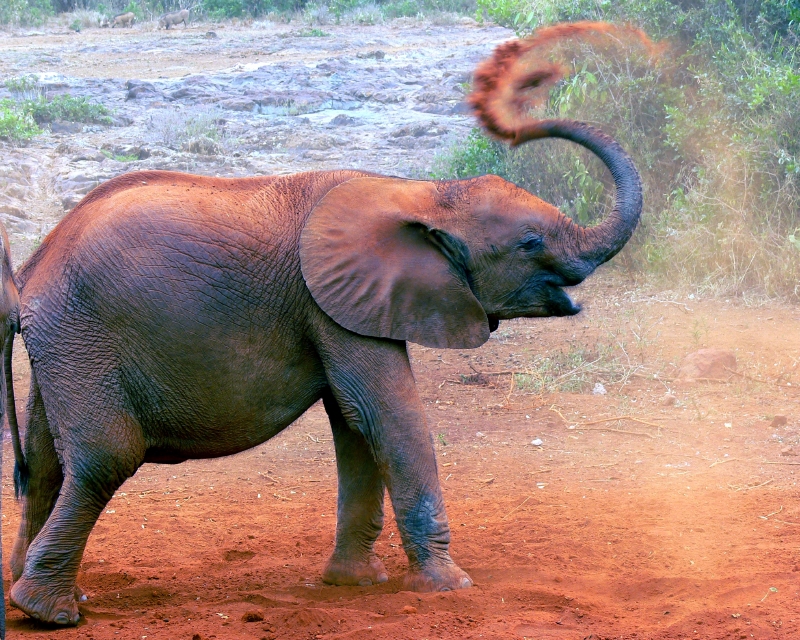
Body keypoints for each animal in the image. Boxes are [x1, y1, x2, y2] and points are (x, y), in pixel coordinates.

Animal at [2, 29, 643, 629]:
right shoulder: (330, 300)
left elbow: (355, 424)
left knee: (46, 466)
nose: (533, 82)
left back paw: (33, 597)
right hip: (83, 333)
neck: (418, 193)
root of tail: (34, 267)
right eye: (530, 243)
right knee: (104, 458)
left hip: (62, 342)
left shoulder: (343, 306)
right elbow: (388, 414)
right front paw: (449, 586)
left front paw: (354, 583)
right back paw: (50, 612)